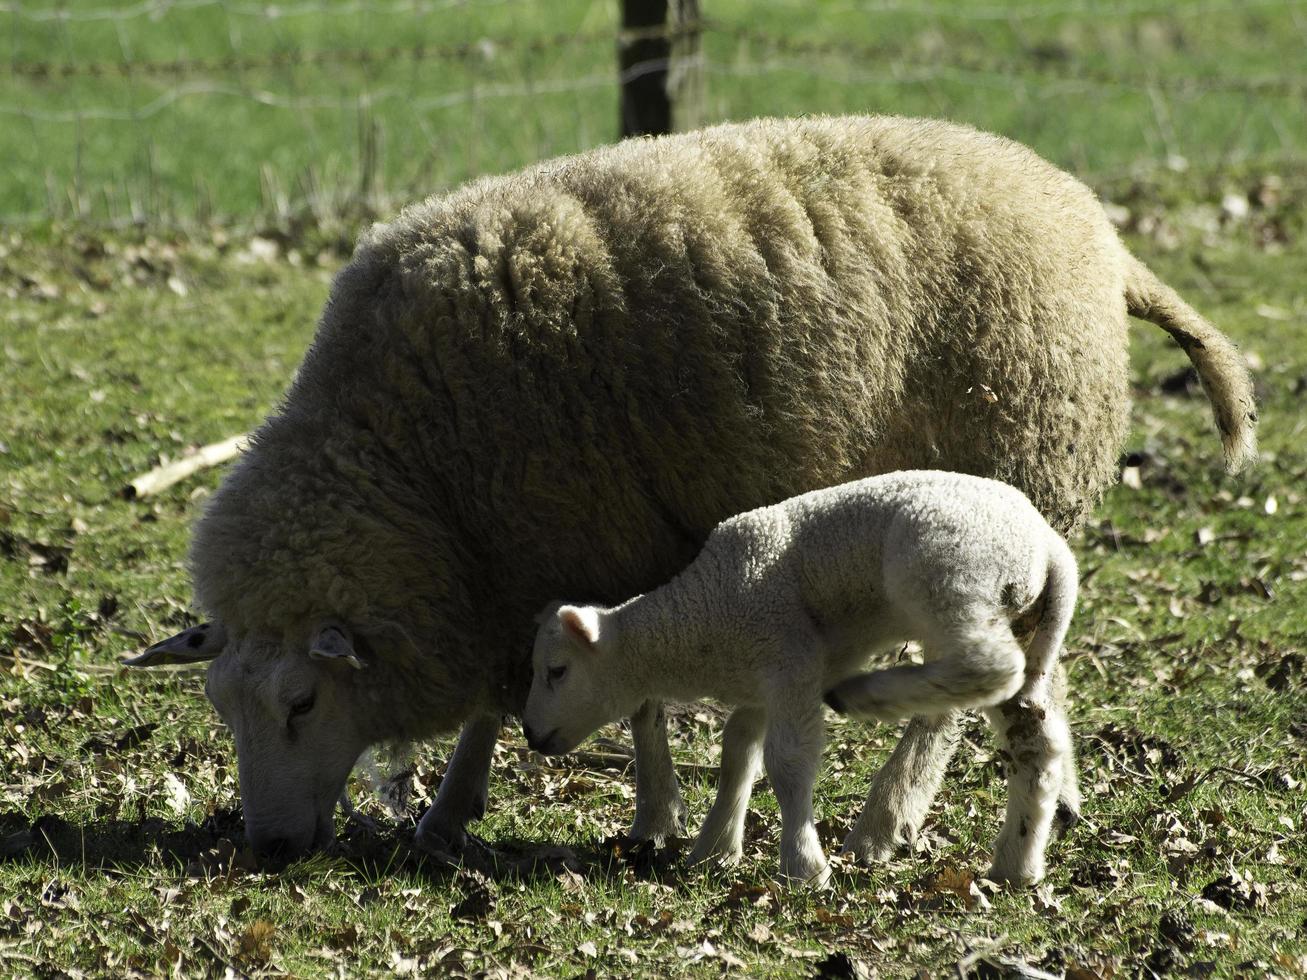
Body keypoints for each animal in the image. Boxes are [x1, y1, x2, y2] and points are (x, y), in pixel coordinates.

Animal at [525, 470, 1076, 888]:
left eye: (557, 670)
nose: (531, 734)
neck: (700, 621)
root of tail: (1051, 549)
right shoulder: (771, 675)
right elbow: (738, 750)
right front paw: (715, 849)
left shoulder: (789, 656)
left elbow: (787, 761)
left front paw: (803, 867)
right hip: (1024, 621)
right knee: (1034, 739)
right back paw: (1017, 865)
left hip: (952, 576)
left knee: (986, 665)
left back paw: (870, 695)